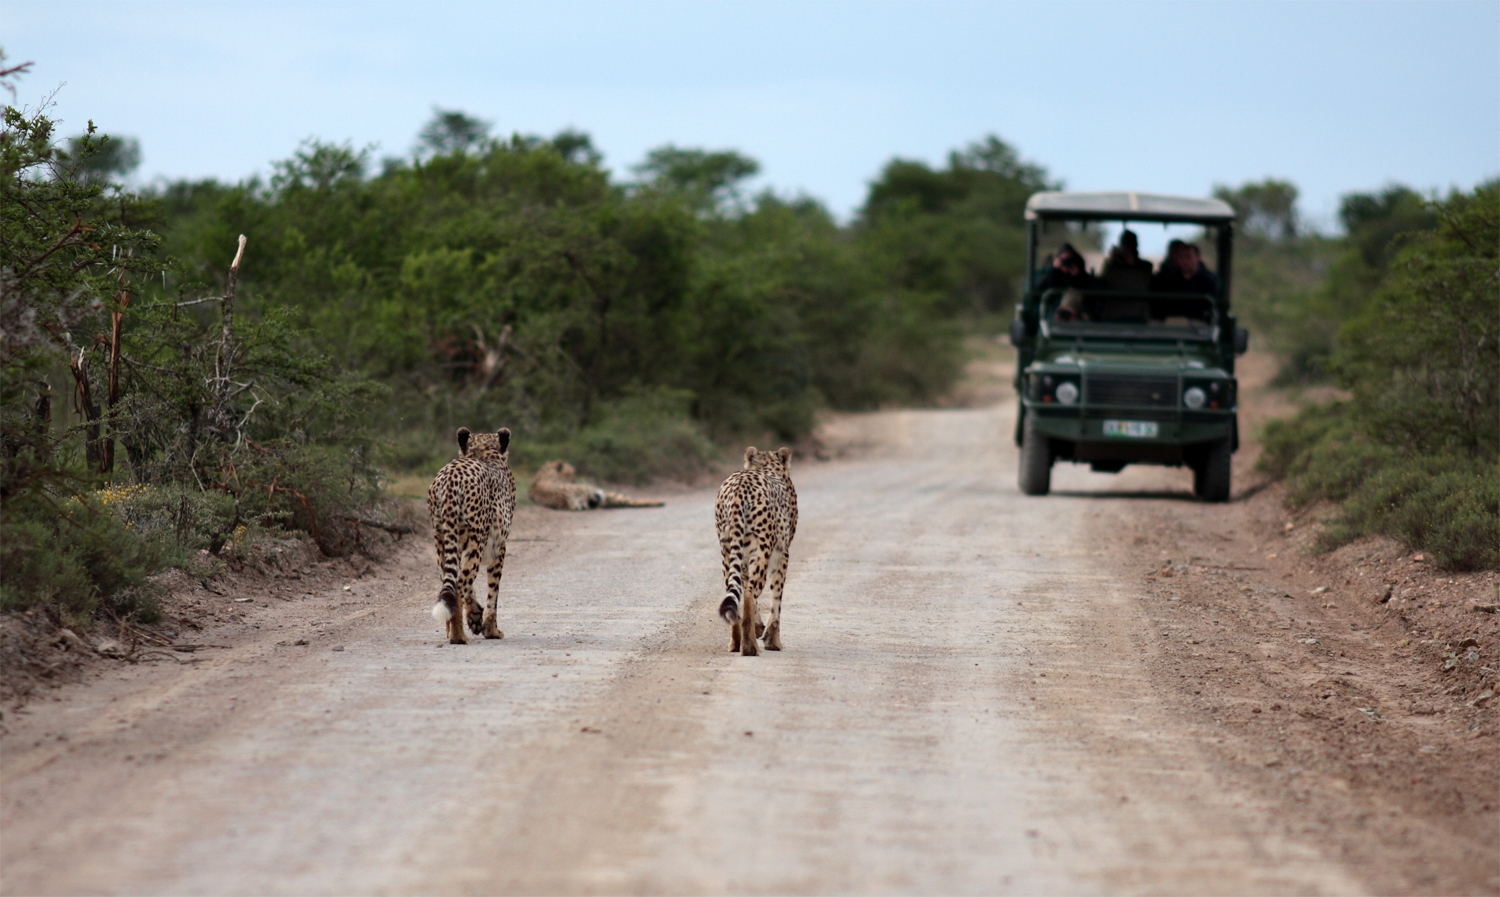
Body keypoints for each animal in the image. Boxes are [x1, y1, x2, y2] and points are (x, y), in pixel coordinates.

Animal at [429, 432, 516, 648]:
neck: (483, 450)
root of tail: (451, 475)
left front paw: (475, 617)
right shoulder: (499, 548)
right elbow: (493, 593)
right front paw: (491, 630)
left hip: (442, 540)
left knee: (451, 583)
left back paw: (452, 629)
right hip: (477, 540)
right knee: (460, 585)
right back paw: (458, 636)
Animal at [714, 447, 798, 654]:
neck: (767, 466)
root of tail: (740, 486)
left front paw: (760, 629)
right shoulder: (782, 555)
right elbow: (777, 599)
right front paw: (772, 640)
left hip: (727, 552)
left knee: (736, 591)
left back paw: (736, 642)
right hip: (761, 551)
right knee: (750, 592)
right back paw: (749, 647)